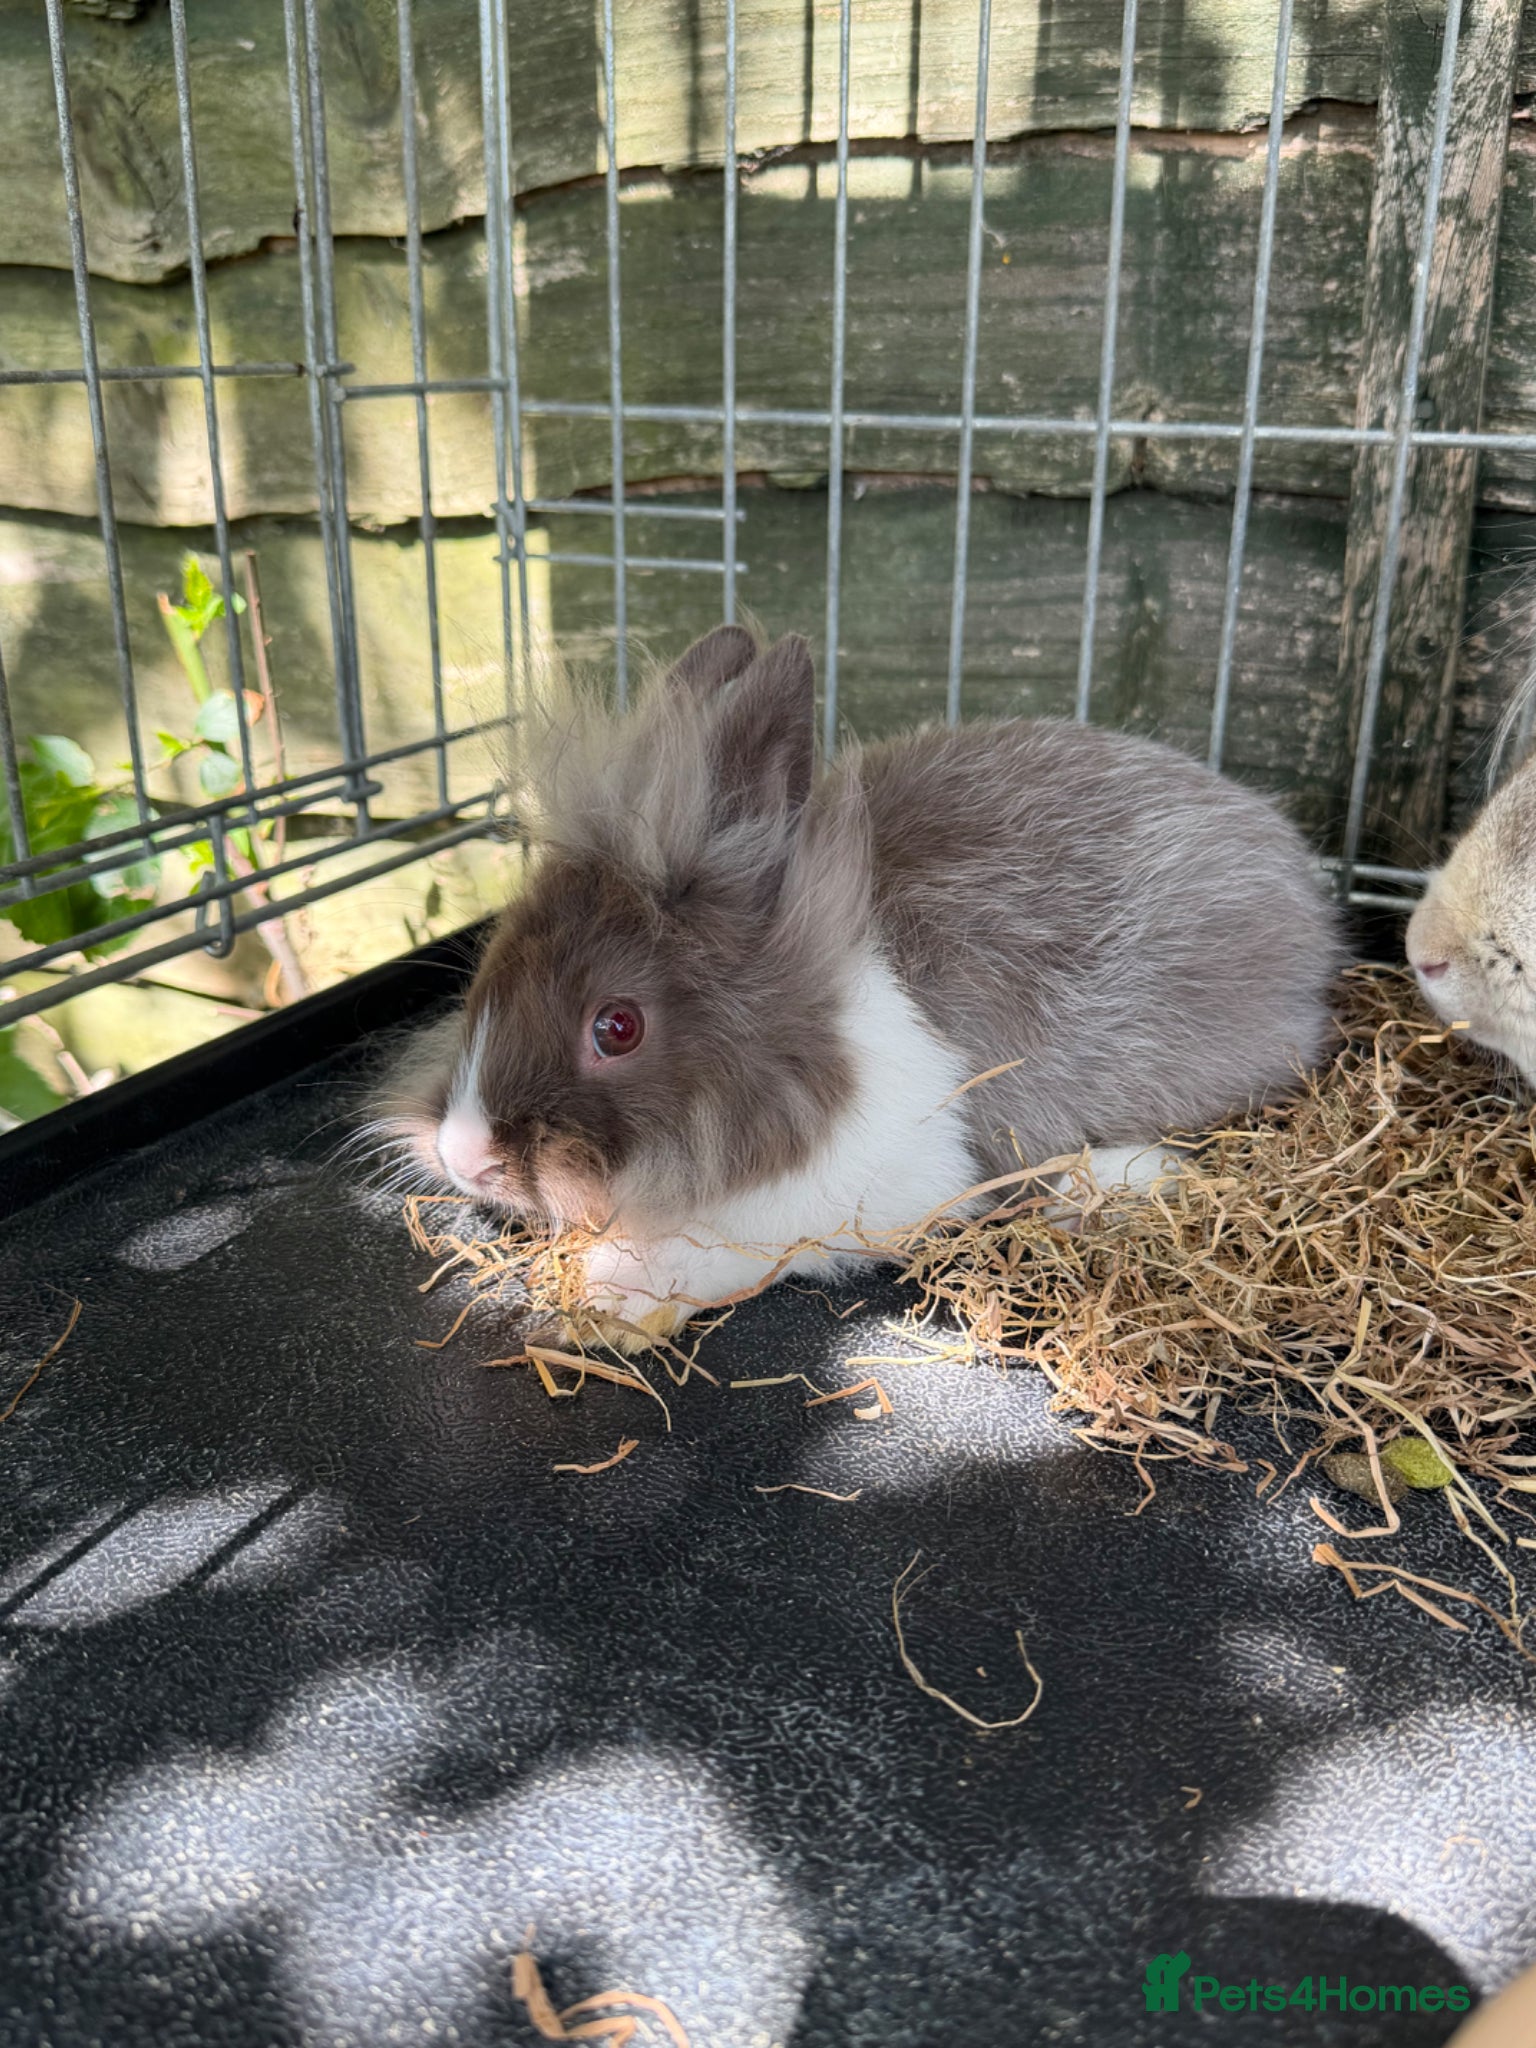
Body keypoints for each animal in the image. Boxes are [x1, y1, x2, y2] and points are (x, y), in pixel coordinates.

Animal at [372, 625, 1343, 1343]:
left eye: (617, 1027)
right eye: (489, 966)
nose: (465, 1156)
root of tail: (1300, 880)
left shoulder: (863, 1199)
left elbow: (736, 1247)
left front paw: (618, 1292)